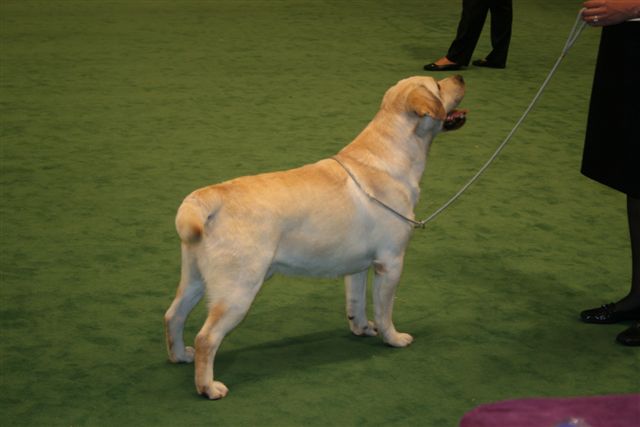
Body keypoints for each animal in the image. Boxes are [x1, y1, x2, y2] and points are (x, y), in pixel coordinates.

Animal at [164, 75, 466, 399]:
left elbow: (356, 303)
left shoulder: (358, 266)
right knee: (207, 338)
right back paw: (208, 387)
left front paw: (361, 328)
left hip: (196, 278)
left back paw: (179, 355)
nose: (460, 77)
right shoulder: (391, 262)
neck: (392, 153)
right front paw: (393, 338)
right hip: (238, 289)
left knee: (173, 315)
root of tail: (209, 196)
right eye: (438, 85)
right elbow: (385, 310)